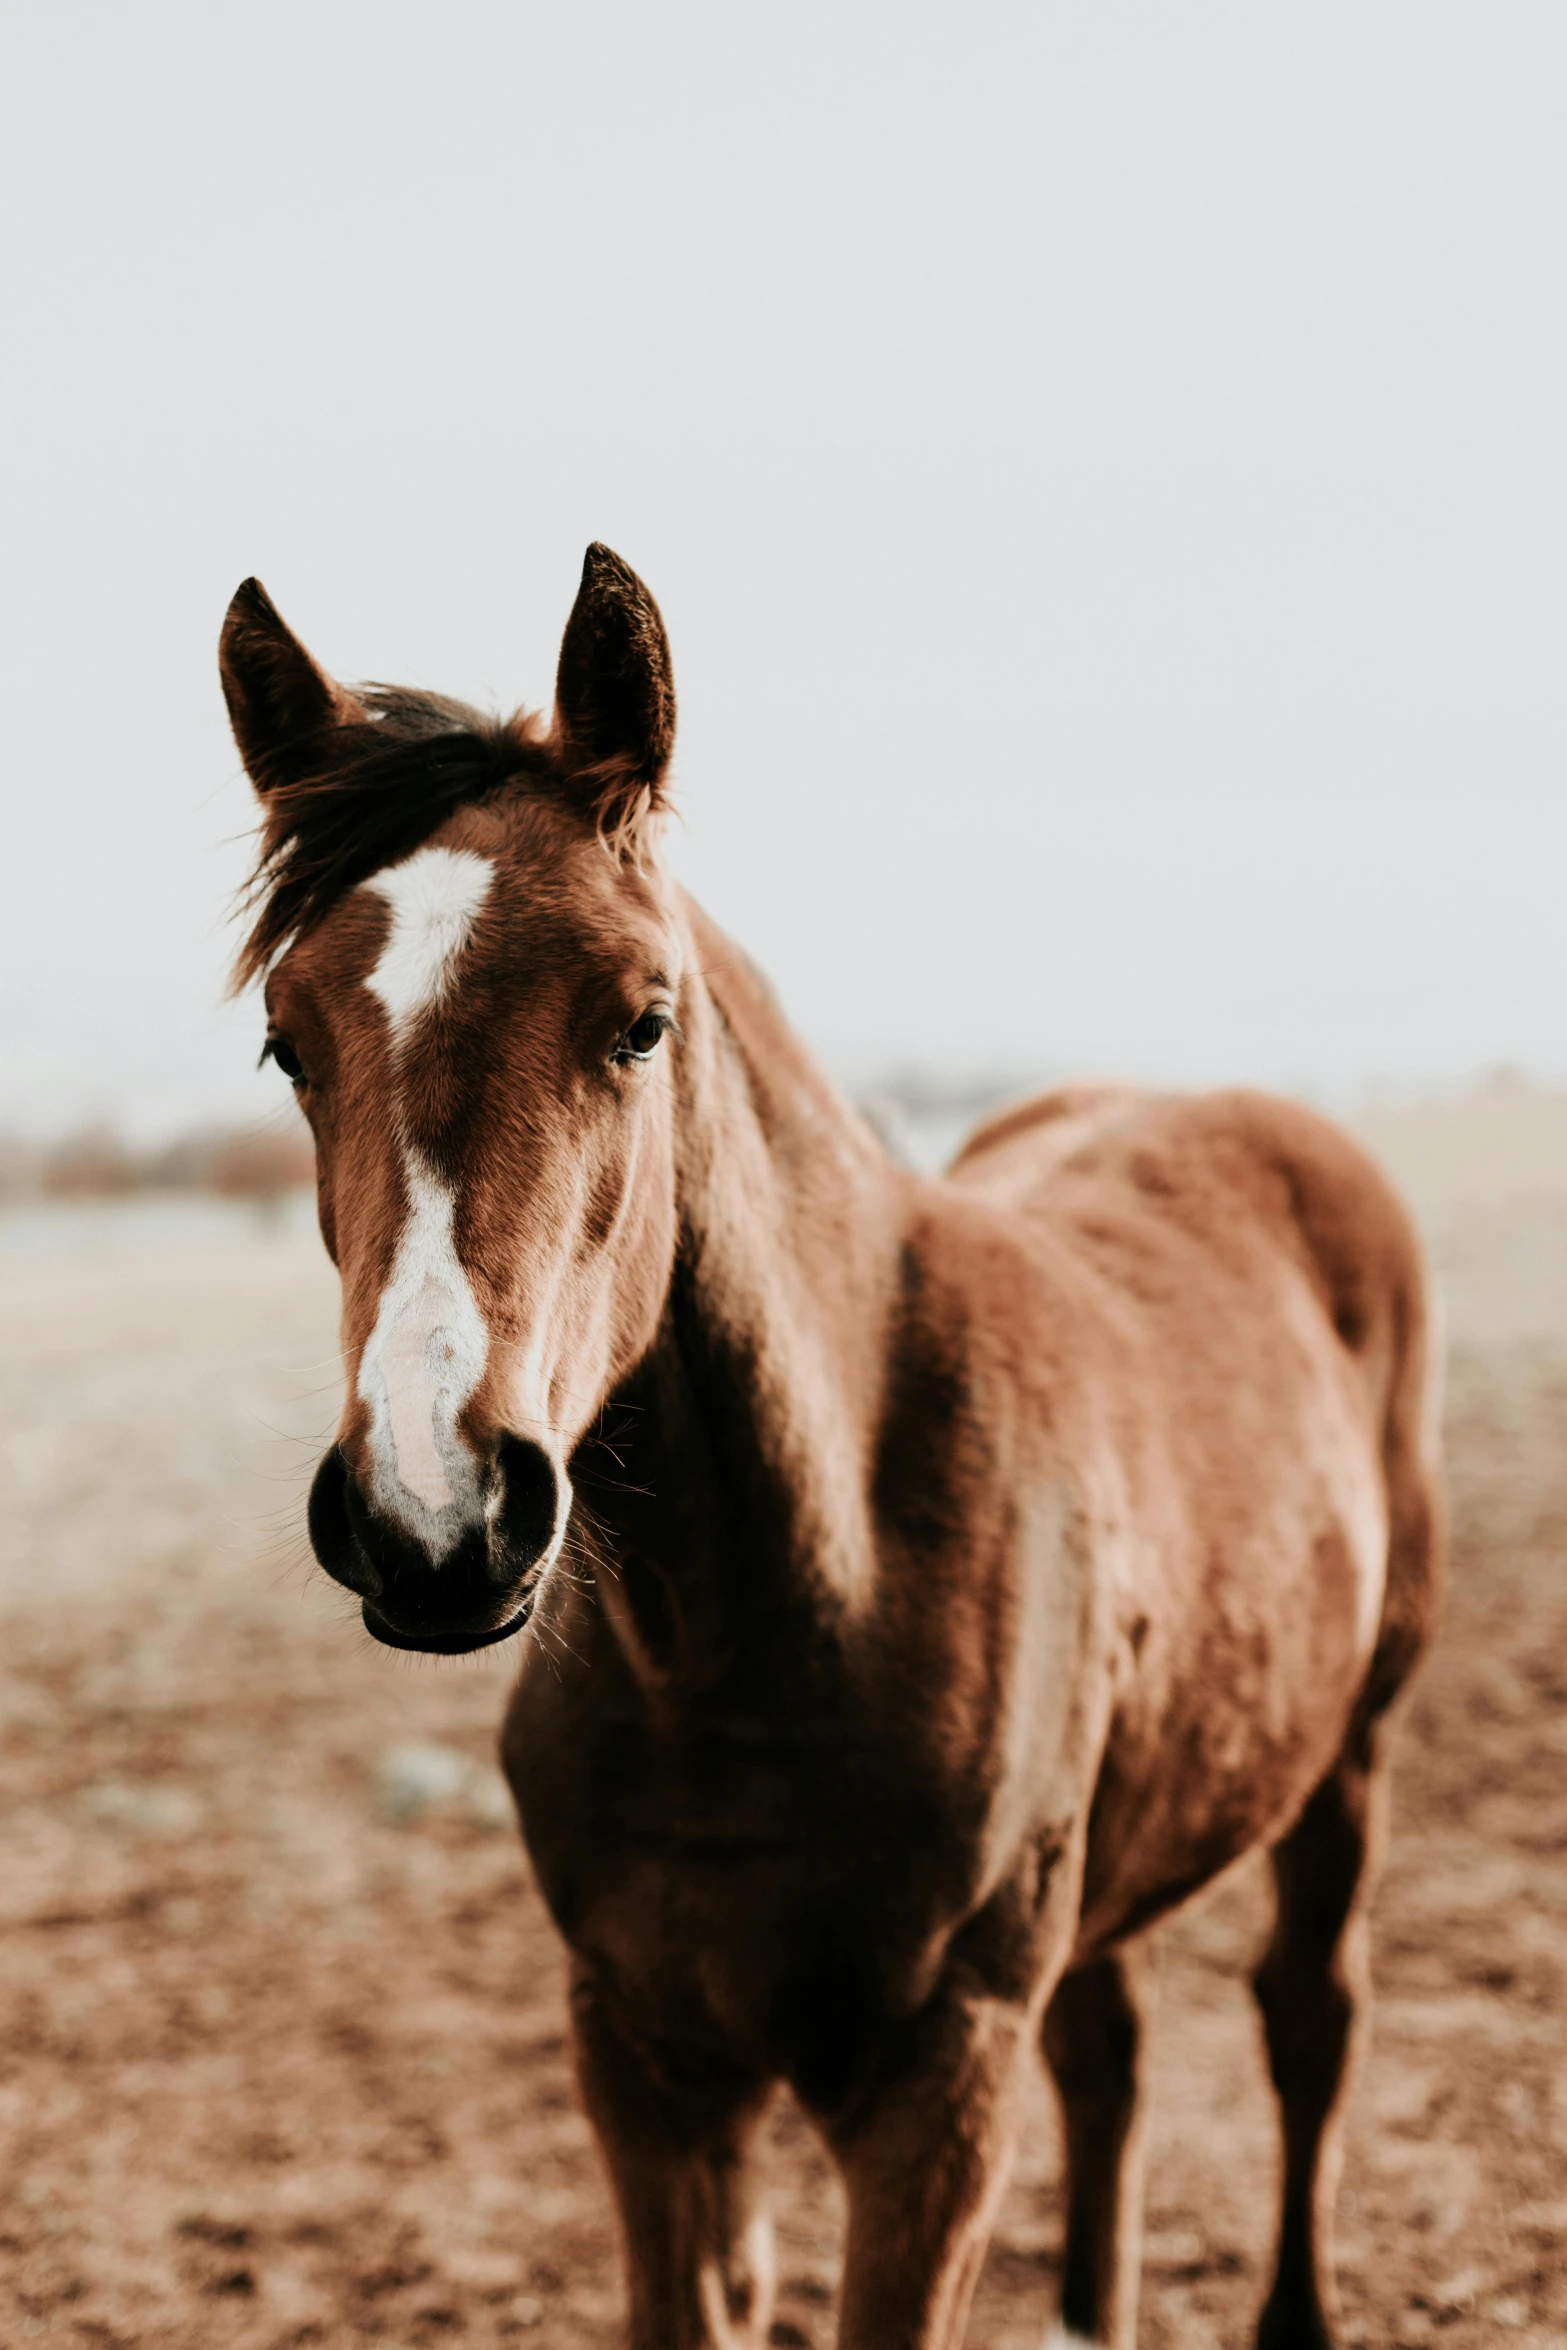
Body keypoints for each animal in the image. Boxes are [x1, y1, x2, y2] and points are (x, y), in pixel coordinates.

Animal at [220, 545, 1447, 2350]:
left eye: (640, 1021)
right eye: (288, 1043)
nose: (431, 1512)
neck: (784, 1609)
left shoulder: (936, 2088)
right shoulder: (643, 2067)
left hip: (1348, 1751)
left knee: (1308, 2021)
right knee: (1115, 2053)